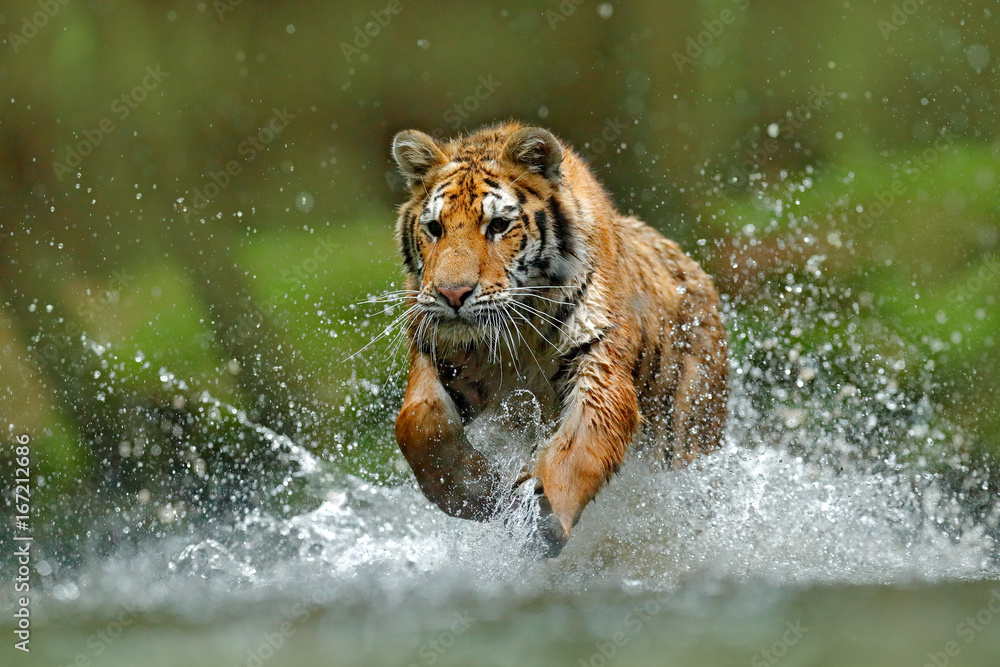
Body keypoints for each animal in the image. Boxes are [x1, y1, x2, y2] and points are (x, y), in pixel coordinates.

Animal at [388, 121, 728, 560]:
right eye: (434, 228)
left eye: (498, 226)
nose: (453, 294)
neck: (513, 334)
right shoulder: (437, 351)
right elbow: (418, 423)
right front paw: (479, 492)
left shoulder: (598, 364)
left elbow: (579, 447)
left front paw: (540, 515)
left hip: (689, 429)